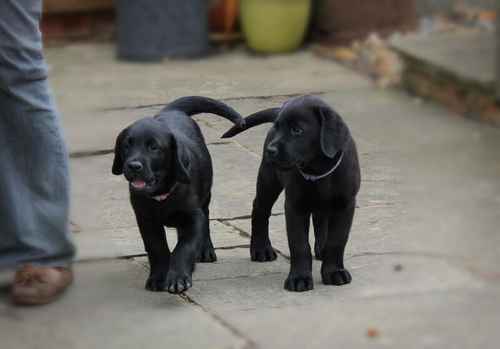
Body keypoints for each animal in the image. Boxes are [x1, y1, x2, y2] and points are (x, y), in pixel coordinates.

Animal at [114, 96, 246, 292]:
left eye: (154, 147)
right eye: (126, 145)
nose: (133, 166)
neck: (162, 194)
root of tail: (172, 111)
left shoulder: (193, 216)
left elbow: (185, 247)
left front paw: (178, 278)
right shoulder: (146, 219)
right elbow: (157, 247)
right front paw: (158, 277)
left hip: (205, 195)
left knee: (206, 218)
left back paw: (205, 250)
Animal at [223, 94, 360, 290]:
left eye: (297, 130)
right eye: (277, 127)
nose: (270, 150)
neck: (317, 171)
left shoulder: (345, 205)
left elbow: (337, 241)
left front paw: (334, 271)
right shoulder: (295, 206)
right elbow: (299, 244)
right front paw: (299, 278)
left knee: (320, 217)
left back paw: (321, 248)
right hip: (269, 178)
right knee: (260, 210)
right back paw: (261, 249)